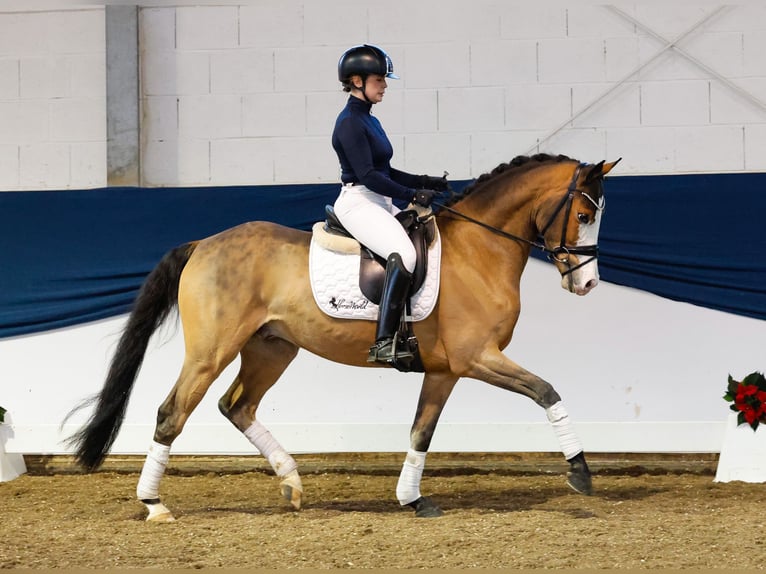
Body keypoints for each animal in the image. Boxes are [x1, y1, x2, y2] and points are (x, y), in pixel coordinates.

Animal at [67, 153, 624, 520]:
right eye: (583, 215)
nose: (588, 283)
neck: (479, 250)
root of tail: (203, 243)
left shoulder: (446, 370)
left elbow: (421, 432)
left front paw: (412, 499)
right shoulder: (477, 358)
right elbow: (547, 391)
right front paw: (580, 473)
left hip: (272, 348)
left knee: (236, 406)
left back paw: (291, 483)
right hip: (211, 351)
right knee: (172, 412)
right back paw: (154, 504)